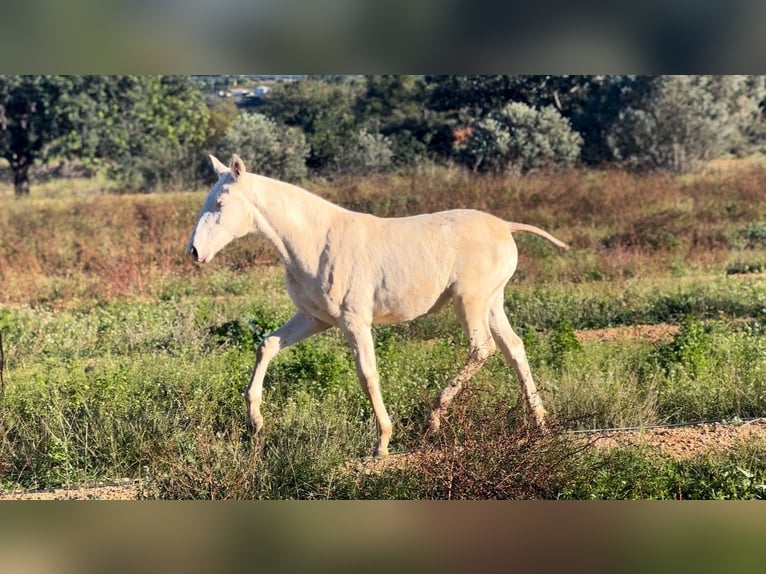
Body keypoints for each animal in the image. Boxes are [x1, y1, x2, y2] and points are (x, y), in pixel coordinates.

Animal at [188, 154, 568, 460]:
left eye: (220, 202)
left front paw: (382, 443)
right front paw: (256, 422)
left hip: (469, 301)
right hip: (492, 302)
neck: (316, 241)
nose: (194, 252)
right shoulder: (314, 318)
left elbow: (367, 375)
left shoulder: (355, 322)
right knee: (514, 348)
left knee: (482, 348)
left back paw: (433, 418)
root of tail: (506, 226)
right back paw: (541, 423)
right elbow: (266, 345)